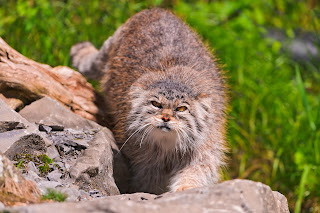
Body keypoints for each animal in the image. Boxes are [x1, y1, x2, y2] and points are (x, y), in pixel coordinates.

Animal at [72, 7, 228, 195]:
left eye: (181, 108)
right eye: (156, 104)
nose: (166, 118)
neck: (168, 145)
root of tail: (155, 9)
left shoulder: (204, 146)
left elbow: (197, 169)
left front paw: (186, 187)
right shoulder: (145, 161)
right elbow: (149, 182)